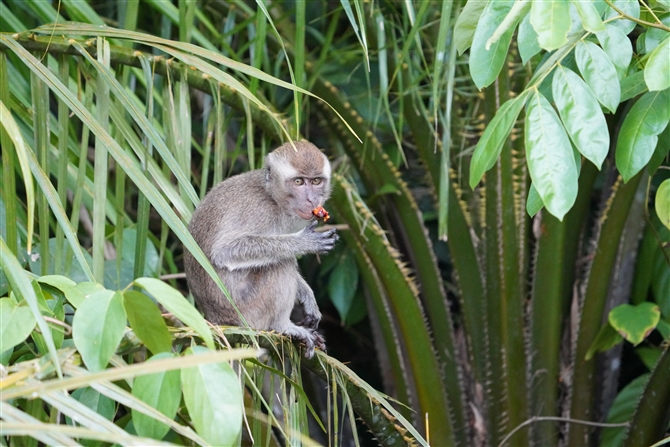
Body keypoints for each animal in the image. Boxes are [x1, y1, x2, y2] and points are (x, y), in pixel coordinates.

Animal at [184, 142, 338, 358]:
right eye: (299, 182)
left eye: (316, 181)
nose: (311, 200)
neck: (272, 196)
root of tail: (219, 320)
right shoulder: (259, 211)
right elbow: (225, 251)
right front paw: (304, 242)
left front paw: (307, 296)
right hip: (249, 312)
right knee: (280, 264)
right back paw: (282, 326)